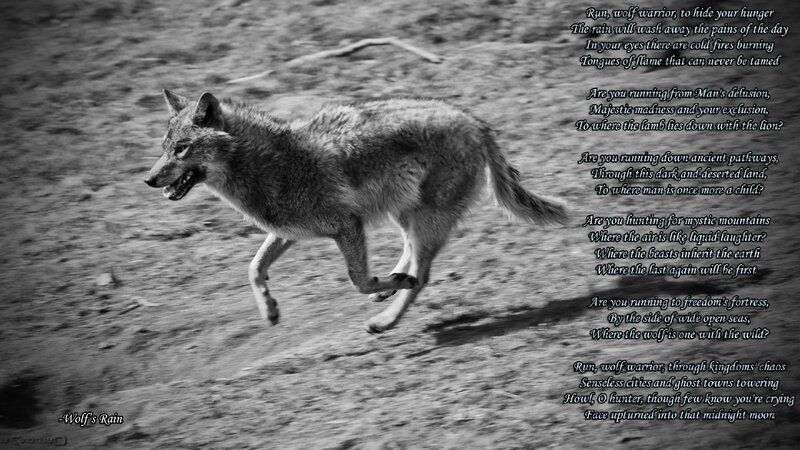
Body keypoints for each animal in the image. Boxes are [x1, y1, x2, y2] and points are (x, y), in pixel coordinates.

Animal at [144, 90, 568, 333]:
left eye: (181, 149)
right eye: (164, 148)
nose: (148, 179)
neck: (271, 164)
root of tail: (477, 123)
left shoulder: (347, 225)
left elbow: (359, 280)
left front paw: (386, 288)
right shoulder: (288, 233)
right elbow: (253, 268)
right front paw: (269, 312)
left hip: (423, 219)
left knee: (423, 275)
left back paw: (385, 318)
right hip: (405, 214)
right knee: (412, 256)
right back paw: (393, 285)